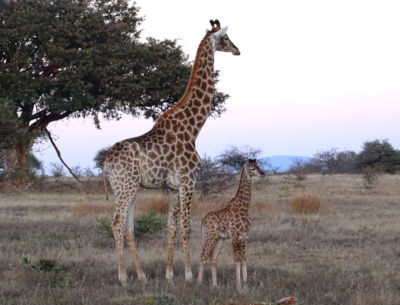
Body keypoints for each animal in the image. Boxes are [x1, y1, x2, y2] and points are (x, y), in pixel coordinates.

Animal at [104, 19, 241, 284]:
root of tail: (105, 162)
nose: (238, 50)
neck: (193, 128)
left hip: (127, 188)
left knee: (128, 227)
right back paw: (123, 277)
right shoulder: (189, 181)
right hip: (126, 187)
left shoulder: (171, 187)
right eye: (226, 38)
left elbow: (171, 227)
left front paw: (169, 273)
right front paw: (188, 274)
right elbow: (186, 227)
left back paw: (142, 275)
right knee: (116, 223)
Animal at [198, 159, 266, 290]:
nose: (263, 173)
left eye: (258, 166)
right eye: (252, 168)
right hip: (209, 236)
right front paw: (238, 286)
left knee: (213, 258)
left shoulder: (245, 236)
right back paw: (198, 283)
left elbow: (243, 259)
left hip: (219, 238)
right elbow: (236, 260)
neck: (244, 208)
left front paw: (246, 285)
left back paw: (215, 285)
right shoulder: (235, 236)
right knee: (203, 256)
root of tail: (203, 221)